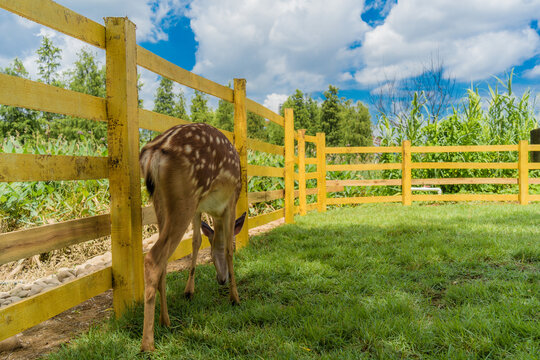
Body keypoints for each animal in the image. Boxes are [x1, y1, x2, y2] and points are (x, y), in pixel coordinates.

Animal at [140, 121, 248, 352]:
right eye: (214, 257)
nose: (222, 279)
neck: (215, 213)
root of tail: (154, 151)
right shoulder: (231, 202)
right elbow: (228, 248)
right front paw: (235, 298)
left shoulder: (200, 209)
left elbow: (197, 241)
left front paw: (189, 291)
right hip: (185, 197)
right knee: (153, 258)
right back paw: (148, 343)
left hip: (162, 202)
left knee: (163, 259)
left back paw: (166, 321)